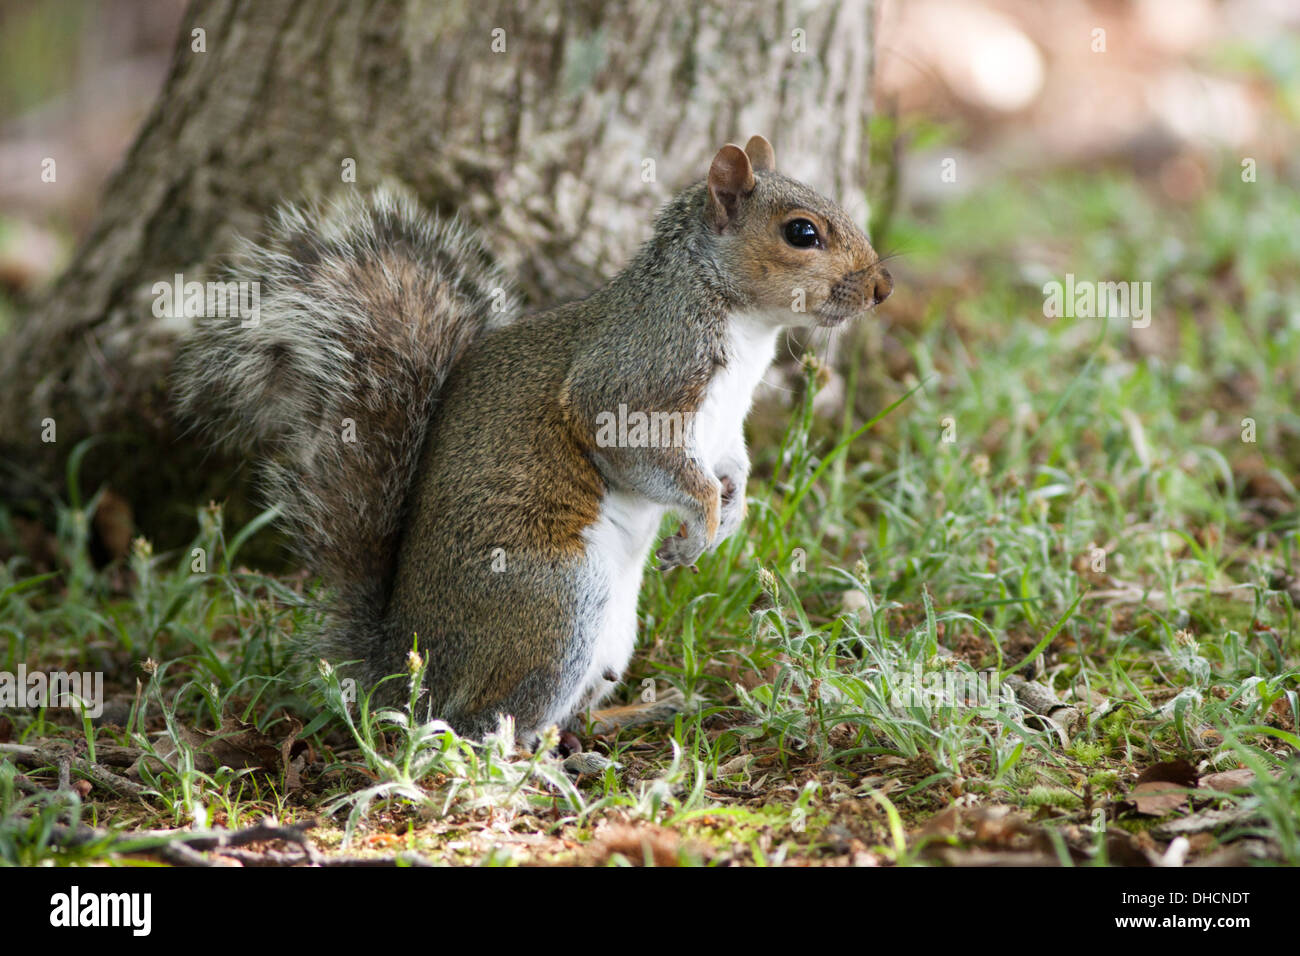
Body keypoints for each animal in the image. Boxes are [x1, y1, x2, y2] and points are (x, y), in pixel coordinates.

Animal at [172, 136, 894, 749]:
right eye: (802, 232)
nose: (882, 287)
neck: (741, 322)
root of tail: (406, 666)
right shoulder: (632, 383)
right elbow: (653, 460)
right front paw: (703, 527)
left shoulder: (724, 424)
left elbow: (730, 464)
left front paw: (731, 511)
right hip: (555, 605)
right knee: (483, 726)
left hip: (610, 633)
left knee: (564, 712)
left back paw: (636, 715)